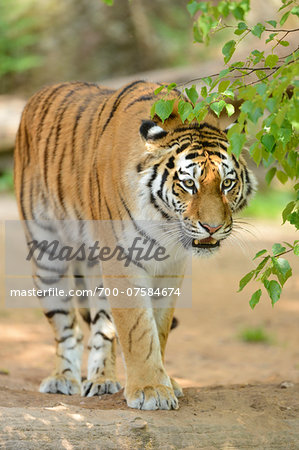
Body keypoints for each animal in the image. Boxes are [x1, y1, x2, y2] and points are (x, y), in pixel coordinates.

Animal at [14, 79, 256, 410]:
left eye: (227, 183)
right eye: (189, 184)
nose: (212, 227)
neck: (164, 223)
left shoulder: (171, 267)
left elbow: (158, 328)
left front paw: (164, 382)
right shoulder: (122, 260)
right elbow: (138, 330)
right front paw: (151, 389)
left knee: (101, 331)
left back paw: (102, 380)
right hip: (48, 257)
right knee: (67, 327)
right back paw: (63, 378)